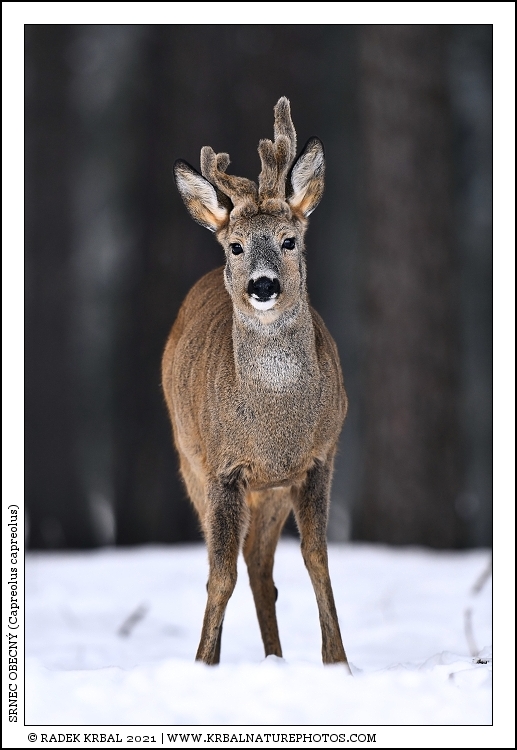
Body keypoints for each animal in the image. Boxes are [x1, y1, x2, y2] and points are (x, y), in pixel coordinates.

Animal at [162, 97, 350, 671]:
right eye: (236, 246)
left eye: (290, 240)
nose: (262, 285)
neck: (274, 428)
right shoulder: (223, 468)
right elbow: (218, 576)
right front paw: (203, 663)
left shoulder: (319, 457)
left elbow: (317, 561)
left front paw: (338, 662)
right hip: (191, 463)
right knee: (236, 566)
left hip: (270, 493)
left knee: (262, 572)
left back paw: (275, 658)